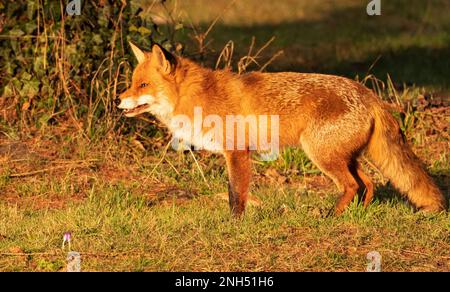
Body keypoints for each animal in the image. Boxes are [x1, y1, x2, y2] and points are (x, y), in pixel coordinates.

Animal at [116, 42, 446, 217]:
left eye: (143, 85)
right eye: (132, 83)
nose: (118, 99)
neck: (197, 97)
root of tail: (370, 95)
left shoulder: (237, 152)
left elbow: (236, 194)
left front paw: (234, 223)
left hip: (322, 156)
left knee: (353, 185)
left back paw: (332, 216)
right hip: (345, 157)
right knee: (368, 183)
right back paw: (356, 214)